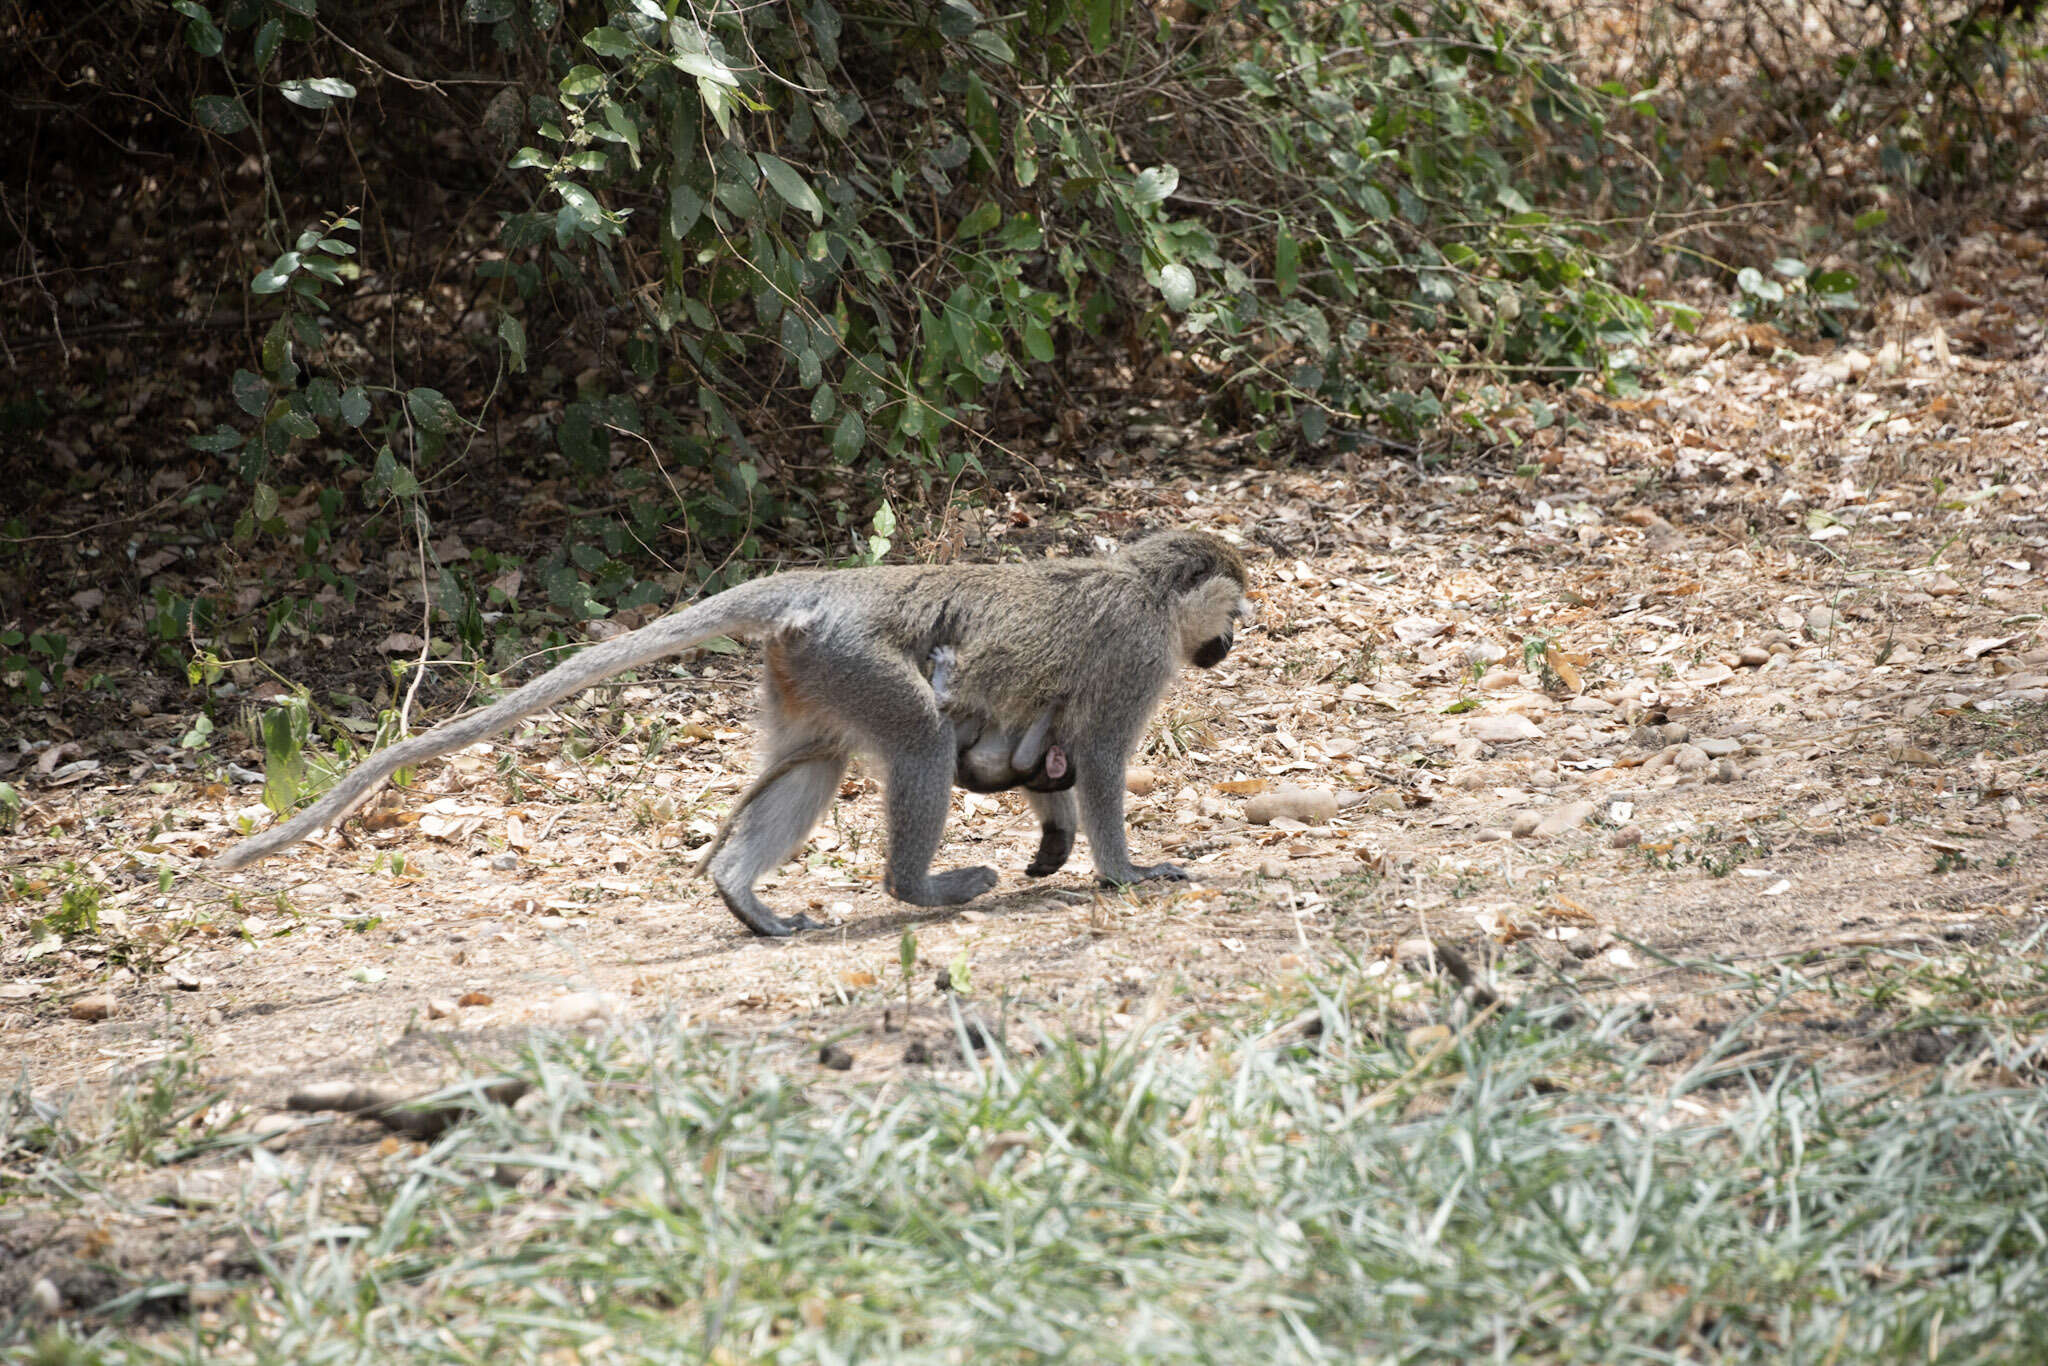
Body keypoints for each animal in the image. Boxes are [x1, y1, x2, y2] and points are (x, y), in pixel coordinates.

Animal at [216, 532, 1253, 942]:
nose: (1232, 645)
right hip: (856, 658)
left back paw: (740, 893)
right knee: (917, 744)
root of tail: (833, 588)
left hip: (814, 668)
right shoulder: (1135, 662)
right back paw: (917, 888)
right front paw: (1124, 869)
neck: (1147, 589)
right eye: (1234, 610)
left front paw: (1056, 839)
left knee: (818, 761)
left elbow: (1054, 754)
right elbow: (1103, 762)